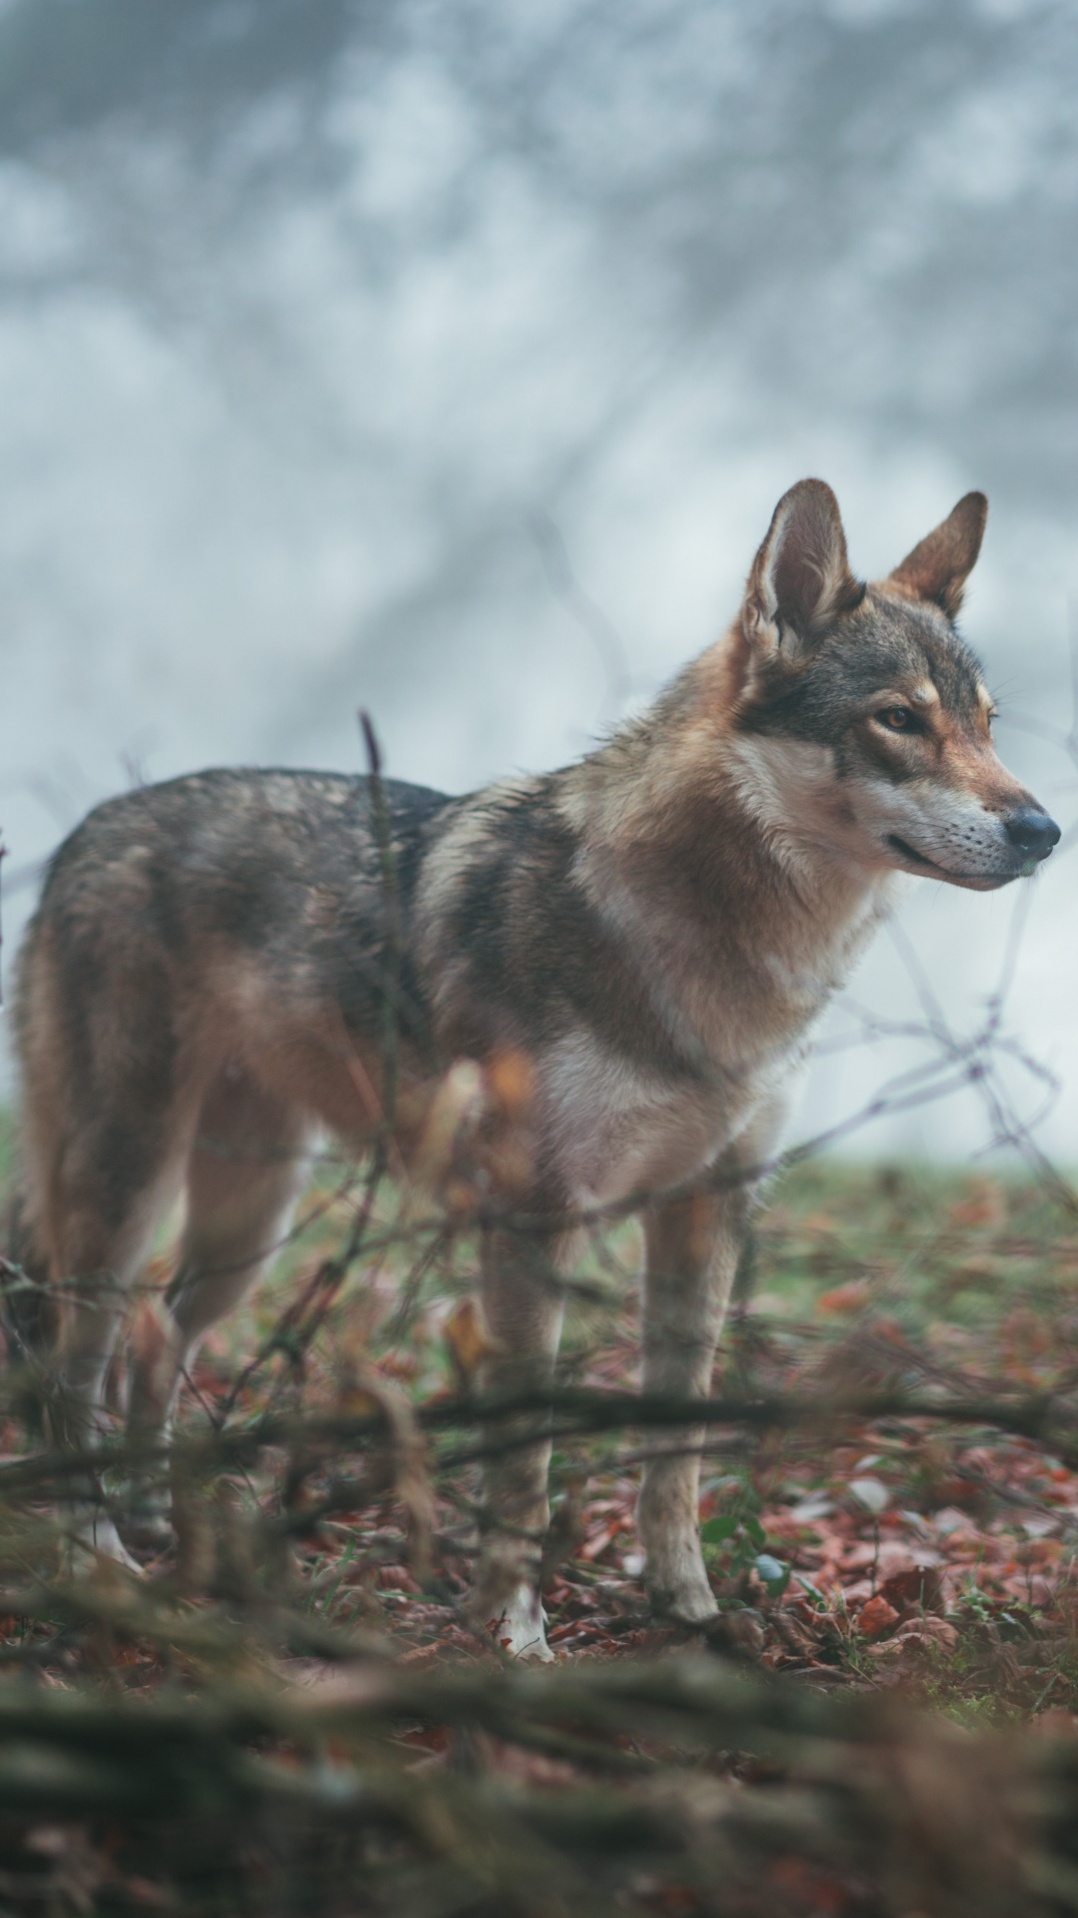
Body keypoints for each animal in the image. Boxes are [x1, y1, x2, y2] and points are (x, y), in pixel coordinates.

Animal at [4, 487, 1051, 1657]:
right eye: (899, 720)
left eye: (987, 724)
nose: (1043, 830)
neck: (712, 952)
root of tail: (85, 830)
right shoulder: (530, 1222)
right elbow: (527, 1462)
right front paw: (514, 1635)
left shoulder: (706, 1210)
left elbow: (675, 1453)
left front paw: (689, 1612)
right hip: (126, 1189)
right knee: (70, 1367)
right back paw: (96, 1557)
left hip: (249, 1220)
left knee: (153, 1334)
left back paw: (152, 1519)